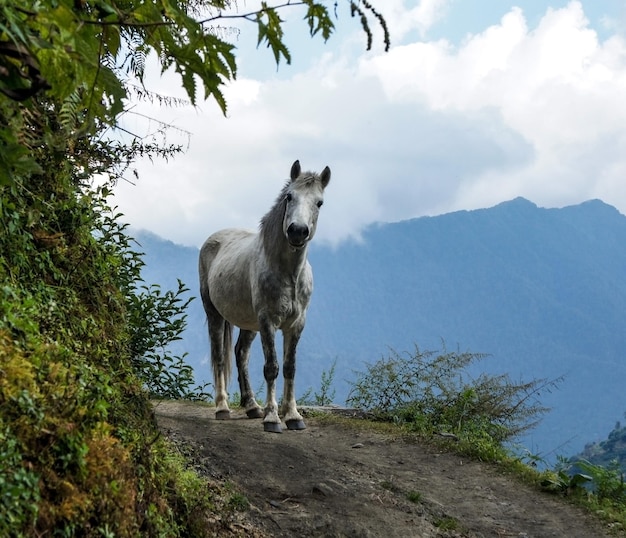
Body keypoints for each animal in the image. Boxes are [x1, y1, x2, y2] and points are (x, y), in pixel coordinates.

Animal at [197, 159, 330, 432]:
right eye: (289, 196)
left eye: (319, 202)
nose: (297, 231)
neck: (288, 274)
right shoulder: (268, 321)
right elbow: (272, 367)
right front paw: (272, 419)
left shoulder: (296, 325)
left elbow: (290, 367)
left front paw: (293, 416)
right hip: (214, 313)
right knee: (219, 356)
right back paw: (223, 408)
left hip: (249, 323)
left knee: (240, 354)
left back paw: (251, 406)